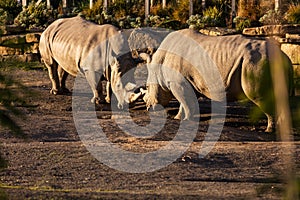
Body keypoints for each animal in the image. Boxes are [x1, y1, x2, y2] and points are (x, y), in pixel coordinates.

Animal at [142, 28, 294, 132]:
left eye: (148, 88)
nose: (148, 108)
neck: (158, 63)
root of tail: (284, 56)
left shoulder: (178, 82)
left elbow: (185, 101)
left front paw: (186, 120)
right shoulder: (188, 82)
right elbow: (185, 102)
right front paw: (178, 118)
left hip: (258, 62)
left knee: (261, 97)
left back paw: (269, 130)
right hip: (269, 63)